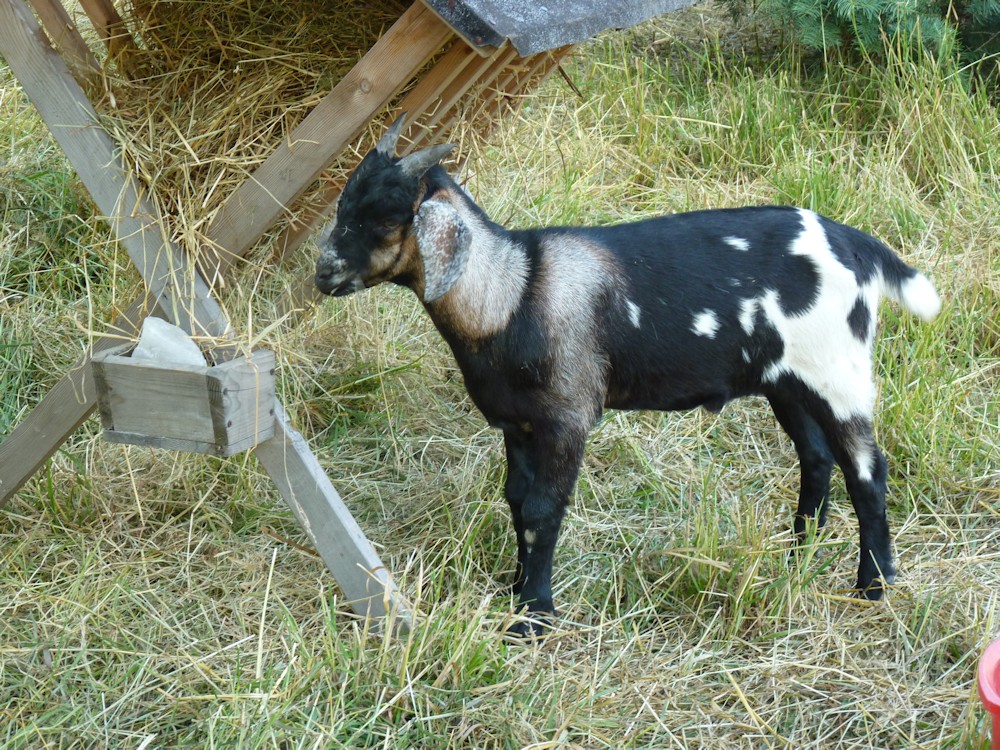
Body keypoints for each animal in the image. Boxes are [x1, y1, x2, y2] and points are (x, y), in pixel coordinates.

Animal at [314, 116, 942, 636]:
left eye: (387, 217)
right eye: (345, 204)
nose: (323, 274)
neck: (511, 291)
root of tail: (853, 244)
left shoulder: (567, 416)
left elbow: (542, 511)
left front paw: (533, 618)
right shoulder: (518, 424)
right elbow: (517, 501)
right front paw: (515, 590)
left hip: (838, 372)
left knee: (867, 469)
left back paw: (873, 585)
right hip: (786, 380)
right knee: (816, 459)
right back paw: (796, 557)